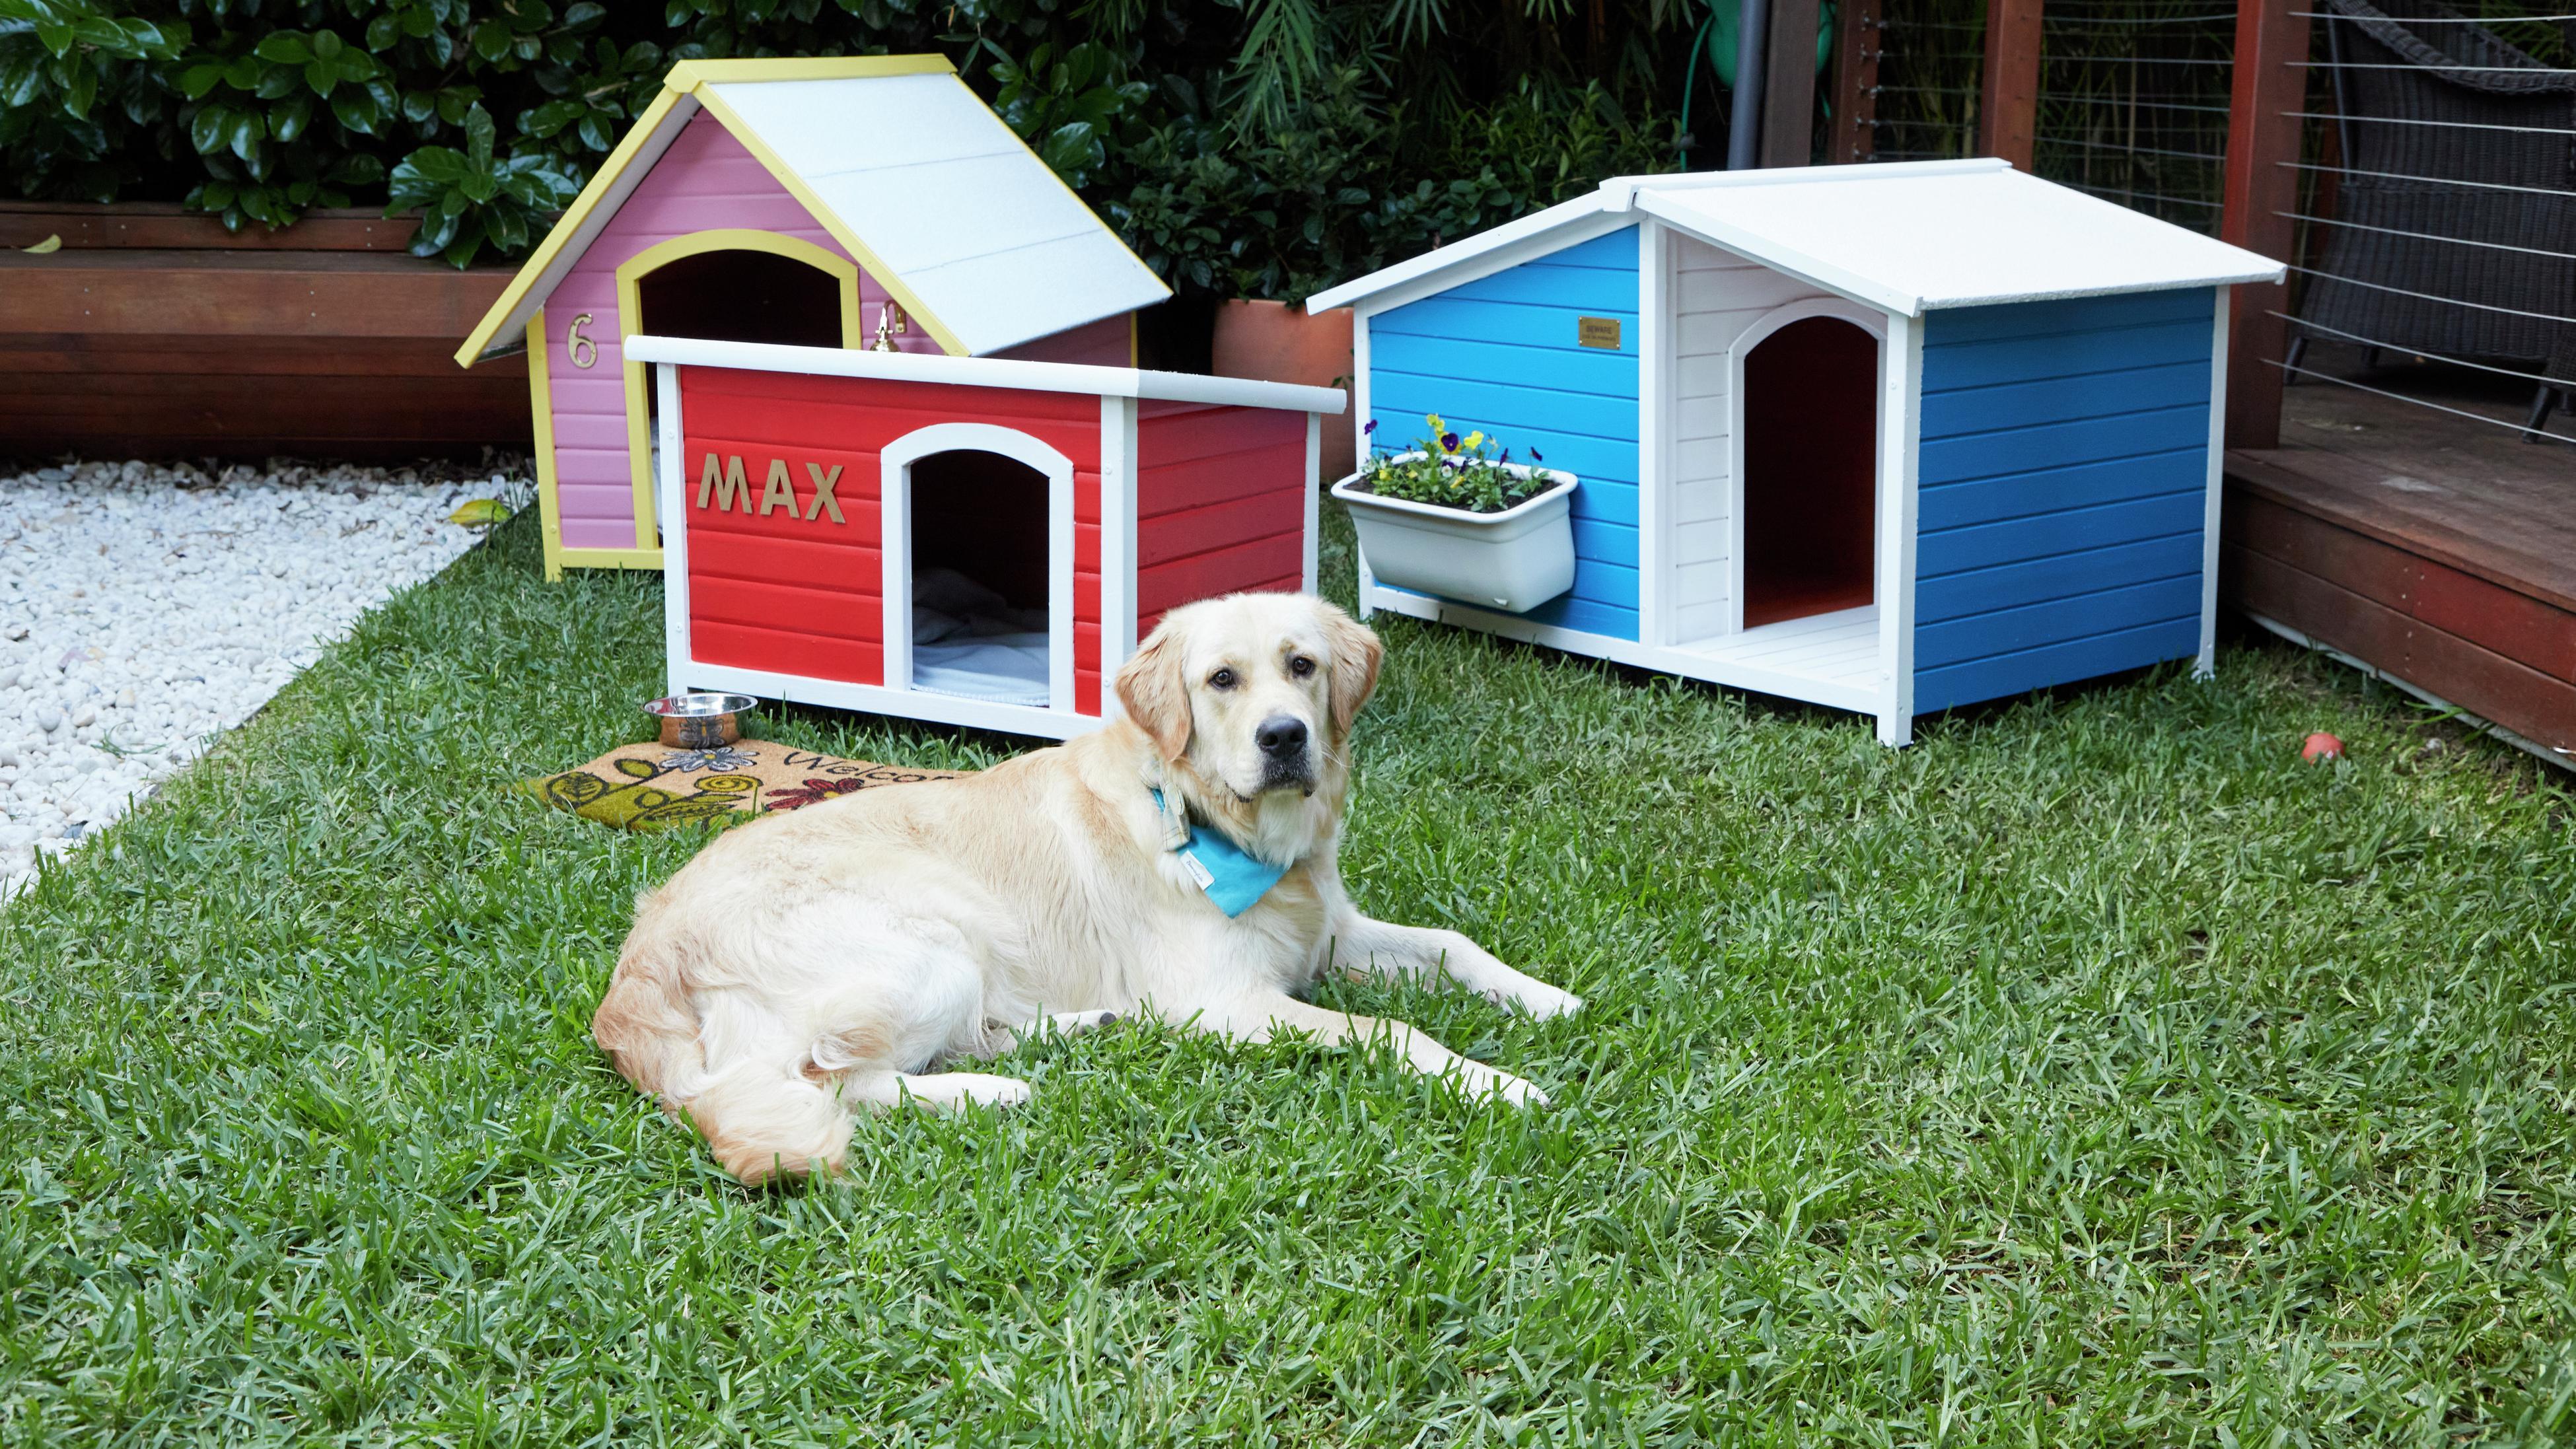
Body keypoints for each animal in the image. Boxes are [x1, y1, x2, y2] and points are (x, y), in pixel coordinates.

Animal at [594, 594, 1576, 1184]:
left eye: (1302, 665)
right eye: (1222, 680)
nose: (1286, 737)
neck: (1220, 823)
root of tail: (638, 963)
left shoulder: (1328, 929)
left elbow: (1453, 944)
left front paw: (1547, 997)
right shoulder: (1224, 999)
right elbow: (1390, 1029)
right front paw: (1499, 1084)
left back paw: (1081, 1027)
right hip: (930, 939)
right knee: (832, 1081)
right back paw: (998, 1092)